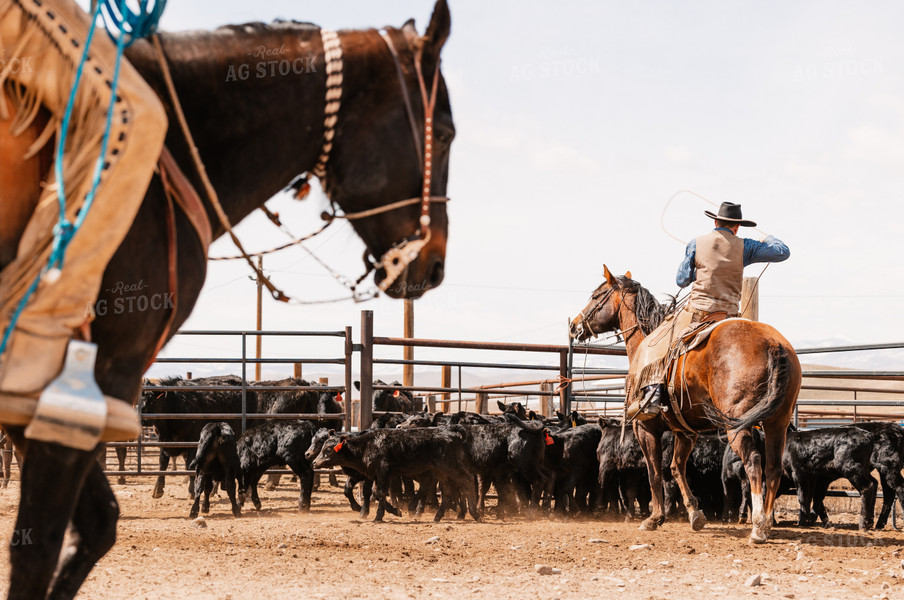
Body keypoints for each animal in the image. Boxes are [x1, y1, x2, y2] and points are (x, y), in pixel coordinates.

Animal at [312, 426, 480, 520]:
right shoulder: (379, 475)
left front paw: (386, 514)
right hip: (440, 472)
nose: (314, 462)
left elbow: (379, 493)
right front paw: (387, 513)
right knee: (447, 490)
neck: (368, 445)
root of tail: (454, 436)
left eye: (328, 449)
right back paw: (437, 516)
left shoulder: (384, 471)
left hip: (450, 467)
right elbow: (377, 493)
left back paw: (475, 513)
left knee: (467, 480)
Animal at [568, 268, 800, 544]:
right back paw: (767, 523)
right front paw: (694, 514)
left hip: (738, 424)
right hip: (778, 422)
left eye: (596, 296)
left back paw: (757, 527)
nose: (574, 325)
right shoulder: (685, 432)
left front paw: (654, 518)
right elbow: (677, 467)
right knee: (773, 468)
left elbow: (655, 472)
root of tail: (772, 343)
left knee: (754, 461)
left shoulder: (645, 428)